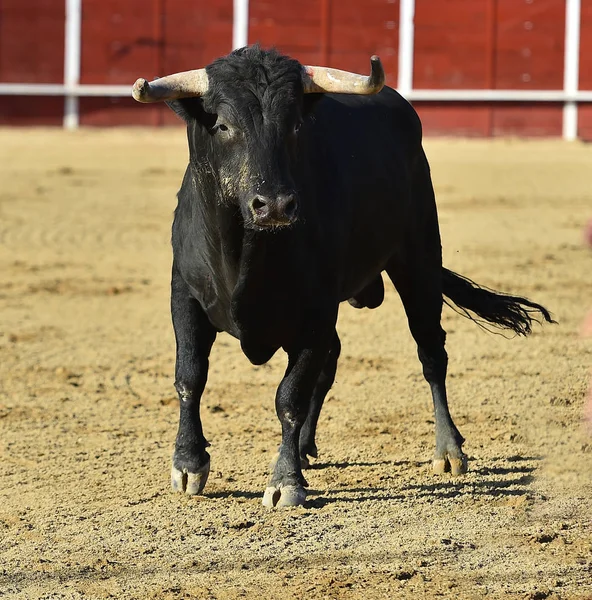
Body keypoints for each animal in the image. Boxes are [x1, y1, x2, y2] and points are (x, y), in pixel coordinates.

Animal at [132, 45, 552, 506]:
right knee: (333, 359)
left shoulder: (316, 312)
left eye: (295, 124)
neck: (248, 252)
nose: (275, 205)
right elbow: (190, 377)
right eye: (223, 125)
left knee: (430, 353)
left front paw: (286, 481)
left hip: (419, 260)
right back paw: (304, 446)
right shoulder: (185, 295)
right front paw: (188, 464)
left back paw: (448, 450)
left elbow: (289, 396)